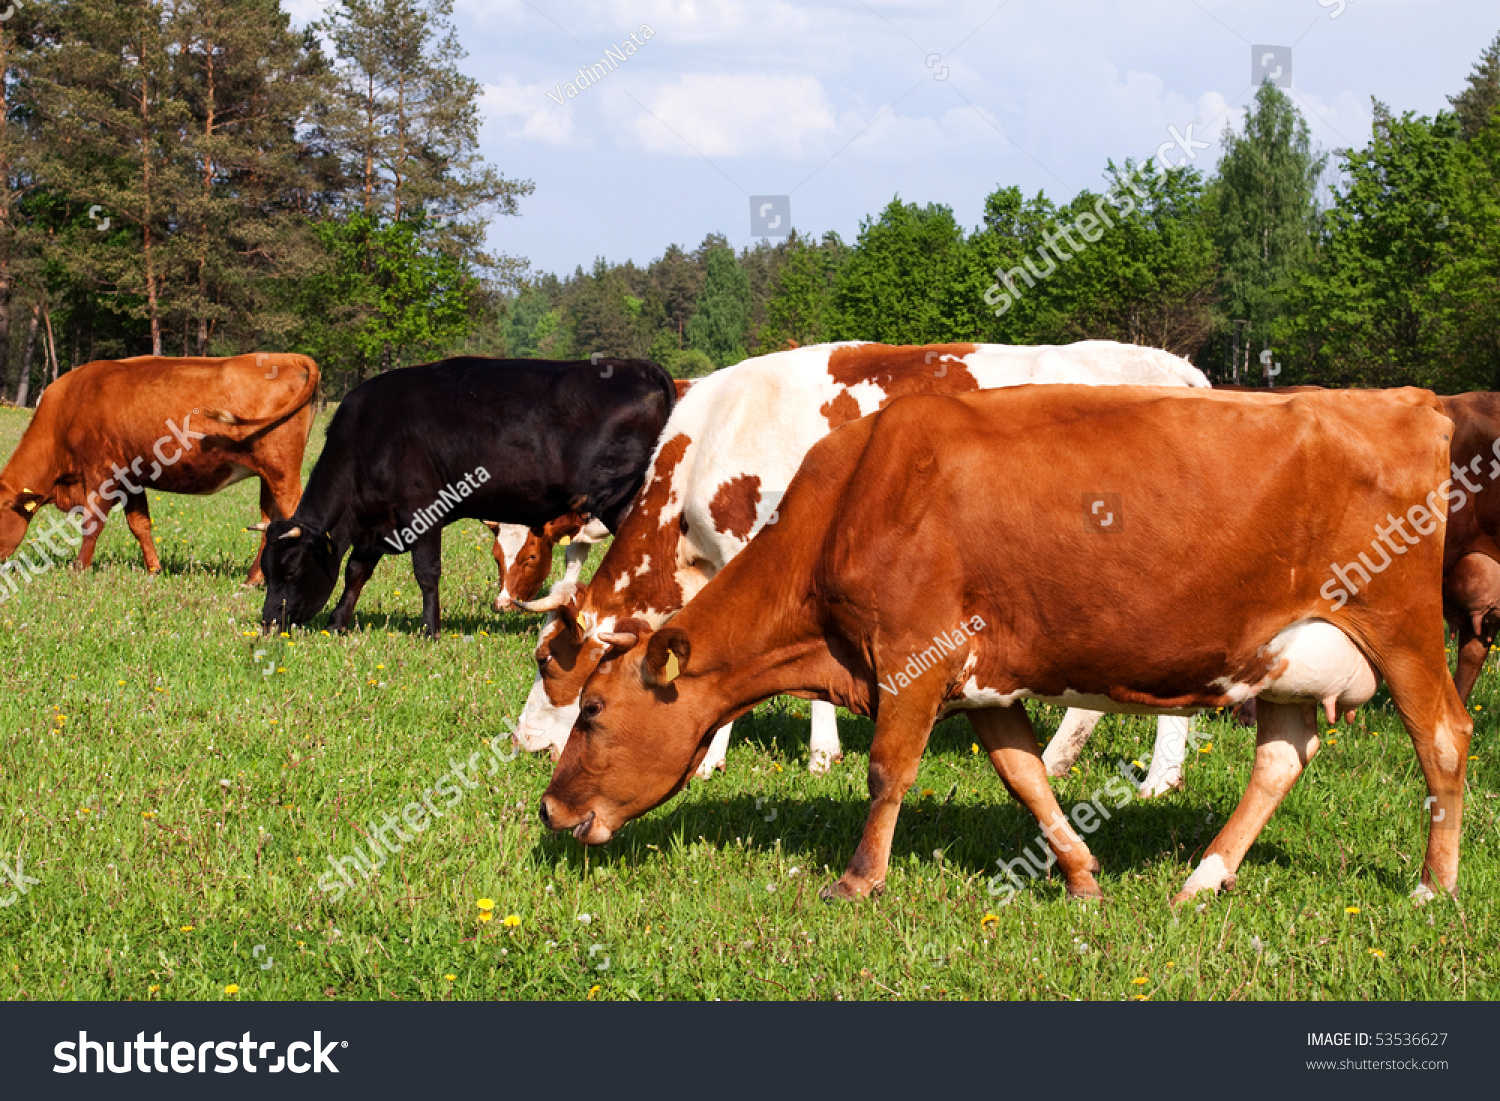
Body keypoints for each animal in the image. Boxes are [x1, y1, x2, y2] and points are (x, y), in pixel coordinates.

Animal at [0, 358, 316, 591]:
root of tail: (288, 357)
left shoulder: (101, 474)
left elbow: (92, 524)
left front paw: (79, 570)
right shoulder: (130, 480)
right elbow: (139, 525)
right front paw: (154, 569)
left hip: (281, 471)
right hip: (269, 476)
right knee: (270, 522)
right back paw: (253, 580)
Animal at [262, 360, 675, 639]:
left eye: (292, 571)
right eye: (266, 571)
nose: (268, 623)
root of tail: (638, 367)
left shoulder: (421, 510)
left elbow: (426, 573)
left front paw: (430, 630)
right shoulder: (378, 523)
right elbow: (356, 571)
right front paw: (338, 622)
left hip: (621, 499)